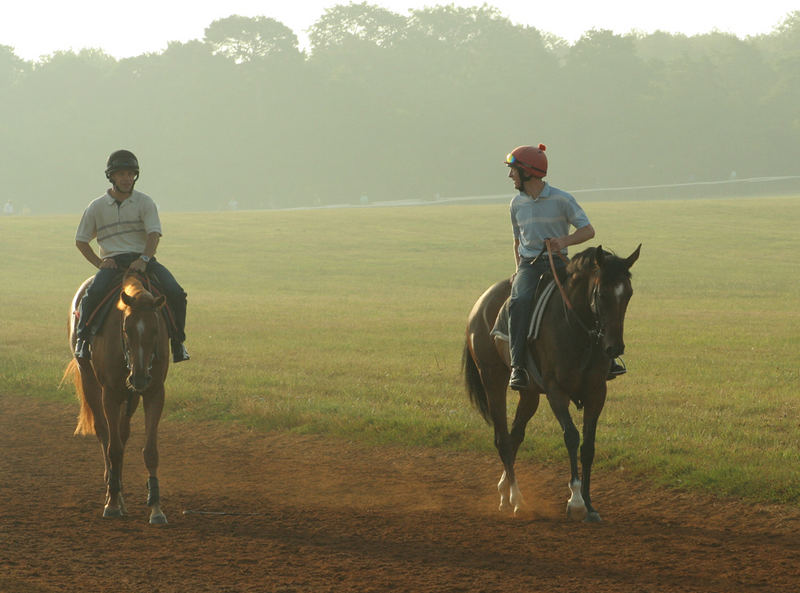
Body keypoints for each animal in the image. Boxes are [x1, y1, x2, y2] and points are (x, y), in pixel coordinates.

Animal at [64, 272, 172, 524]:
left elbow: (150, 451)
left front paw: (156, 508)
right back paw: (113, 491)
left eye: (155, 330)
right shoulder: (111, 393)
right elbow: (113, 448)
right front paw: (112, 503)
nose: (139, 377)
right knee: (105, 434)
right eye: (126, 330)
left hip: (130, 397)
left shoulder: (154, 392)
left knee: (122, 434)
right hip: (90, 381)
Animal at [462, 243, 636, 520]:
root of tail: (479, 305)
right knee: (502, 438)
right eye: (601, 294)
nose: (614, 347)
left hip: (530, 393)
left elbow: (588, 447)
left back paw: (504, 492)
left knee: (515, 436)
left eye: (628, 294)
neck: (577, 330)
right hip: (492, 379)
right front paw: (575, 500)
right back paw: (516, 499)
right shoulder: (556, 391)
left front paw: (589, 505)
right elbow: (572, 437)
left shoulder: (597, 392)